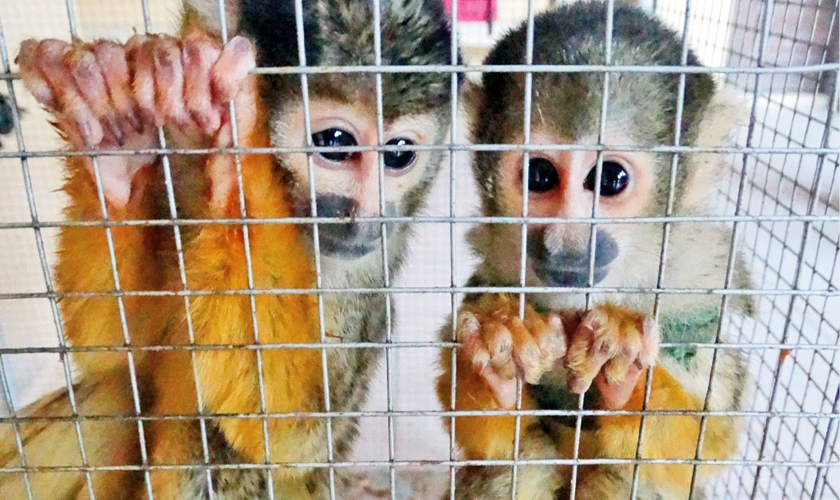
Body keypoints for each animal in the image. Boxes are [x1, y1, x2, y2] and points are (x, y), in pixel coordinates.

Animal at [436, 3, 754, 499]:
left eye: (610, 180)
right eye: (540, 176)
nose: (567, 244)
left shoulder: (698, 303)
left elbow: (708, 446)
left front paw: (624, 370)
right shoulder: (490, 277)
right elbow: (490, 439)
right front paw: (501, 360)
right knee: (523, 461)